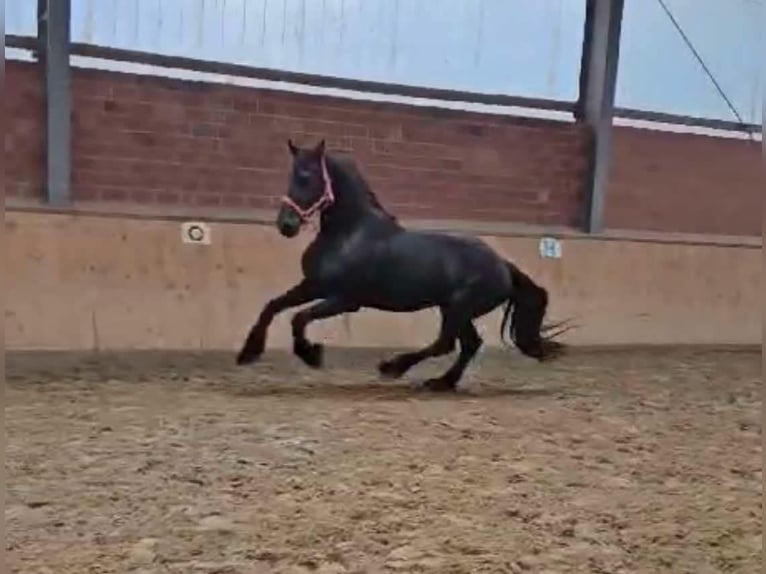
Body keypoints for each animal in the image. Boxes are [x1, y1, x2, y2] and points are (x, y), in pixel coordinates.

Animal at [237, 140, 568, 392]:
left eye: (306, 176)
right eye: (291, 176)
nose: (286, 225)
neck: (349, 234)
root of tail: (503, 264)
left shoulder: (345, 300)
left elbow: (299, 318)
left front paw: (311, 355)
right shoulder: (313, 285)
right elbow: (272, 306)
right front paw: (248, 353)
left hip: (459, 308)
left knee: (445, 344)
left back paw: (393, 367)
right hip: (454, 309)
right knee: (468, 345)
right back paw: (440, 382)